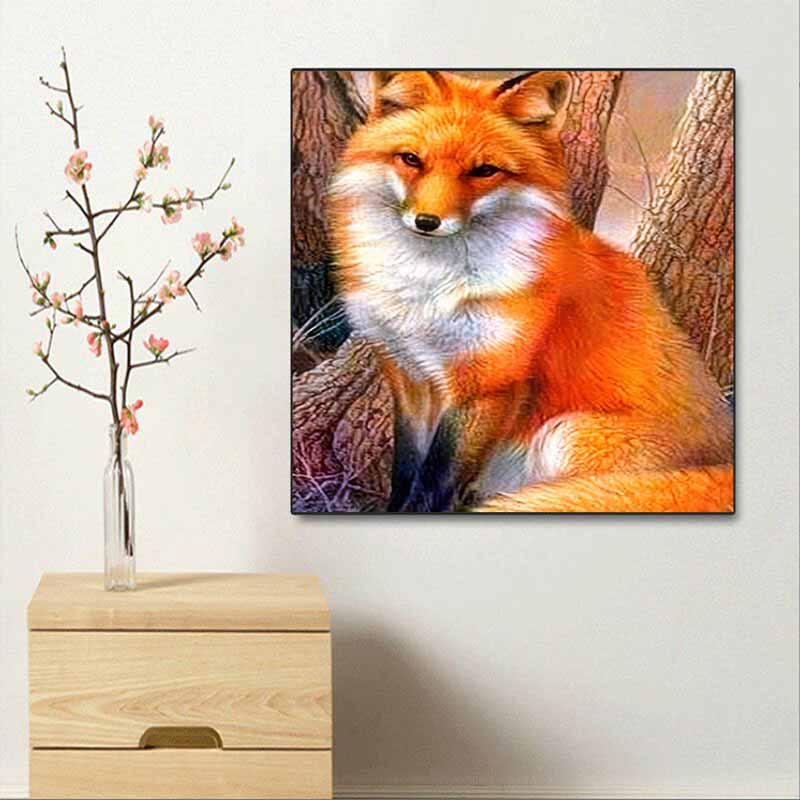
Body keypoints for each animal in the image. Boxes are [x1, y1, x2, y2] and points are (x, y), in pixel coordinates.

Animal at [327, 69, 733, 513]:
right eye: (412, 160)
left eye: (484, 170)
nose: (427, 221)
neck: (428, 288)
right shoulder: (409, 375)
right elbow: (406, 471)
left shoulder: (489, 381)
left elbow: (435, 480)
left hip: (565, 435)